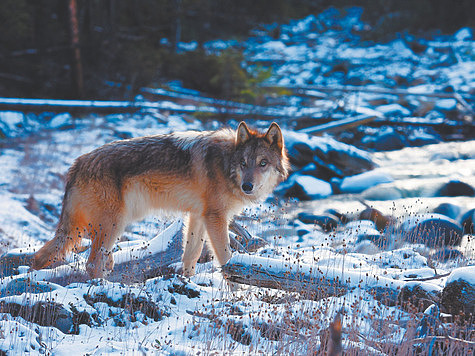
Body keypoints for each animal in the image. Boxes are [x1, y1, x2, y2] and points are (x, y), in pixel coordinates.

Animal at [31, 122, 290, 278]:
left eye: (263, 163)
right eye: (244, 163)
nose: (247, 186)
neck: (226, 165)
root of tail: (77, 163)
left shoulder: (198, 216)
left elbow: (190, 255)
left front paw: (187, 281)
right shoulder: (216, 218)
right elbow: (226, 258)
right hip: (114, 225)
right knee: (92, 263)